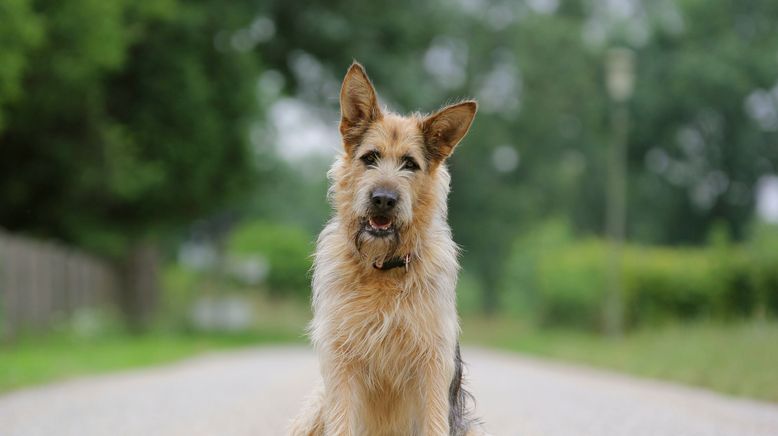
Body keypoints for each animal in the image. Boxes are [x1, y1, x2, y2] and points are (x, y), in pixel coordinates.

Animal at [290, 61, 482, 436]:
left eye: (410, 164)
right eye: (370, 157)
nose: (383, 199)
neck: (383, 266)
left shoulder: (432, 363)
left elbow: (434, 422)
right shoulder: (342, 360)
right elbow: (341, 422)